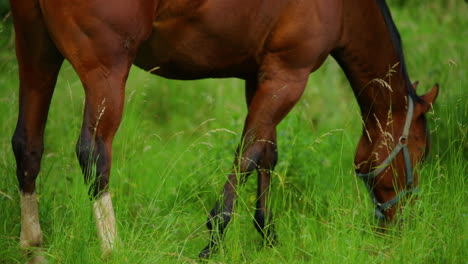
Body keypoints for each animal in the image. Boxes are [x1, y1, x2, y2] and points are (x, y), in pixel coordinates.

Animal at [9, 0, 436, 260]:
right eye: (420, 152)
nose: (400, 226)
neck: (343, 9)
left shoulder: (263, 75)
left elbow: (266, 153)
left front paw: (267, 236)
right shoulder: (288, 77)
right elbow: (247, 156)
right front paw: (213, 242)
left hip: (36, 55)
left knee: (27, 145)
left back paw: (33, 246)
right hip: (106, 72)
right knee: (94, 155)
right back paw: (113, 249)